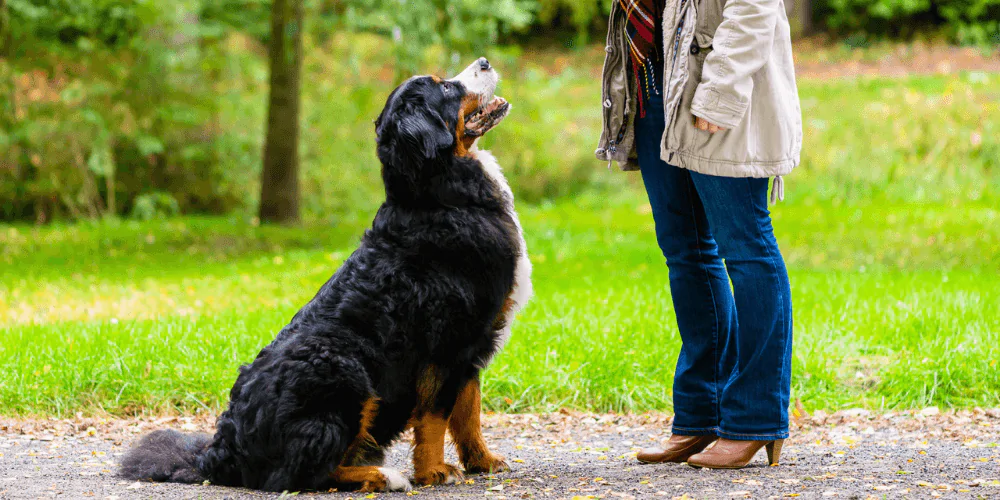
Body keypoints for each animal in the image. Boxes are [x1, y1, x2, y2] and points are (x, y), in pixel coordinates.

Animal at [119, 57, 532, 492]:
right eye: (447, 89)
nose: (484, 61)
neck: (440, 196)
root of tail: (220, 452)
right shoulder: (448, 342)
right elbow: (435, 416)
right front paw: (434, 471)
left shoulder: (473, 344)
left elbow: (468, 412)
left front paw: (482, 461)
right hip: (343, 368)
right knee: (302, 473)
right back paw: (383, 476)